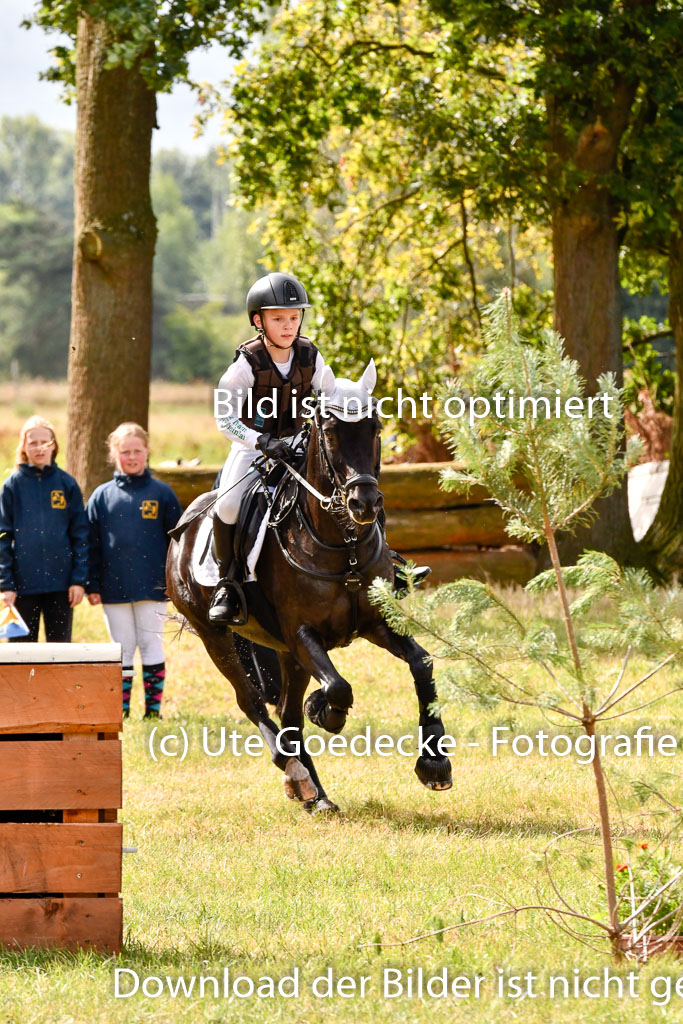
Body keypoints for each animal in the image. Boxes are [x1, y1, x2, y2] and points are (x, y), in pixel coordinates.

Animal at [166, 364, 454, 811]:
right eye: (331, 433)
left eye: (376, 427)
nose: (364, 504)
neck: (342, 546)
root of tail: (184, 524)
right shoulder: (302, 633)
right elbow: (338, 687)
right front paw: (326, 710)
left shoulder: (374, 624)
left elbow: (421, 664)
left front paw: (435, 763)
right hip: (214, 634)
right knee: (252, 702)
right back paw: (296, 773)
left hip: (286, 652)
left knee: (287, 714)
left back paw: (314, 793)